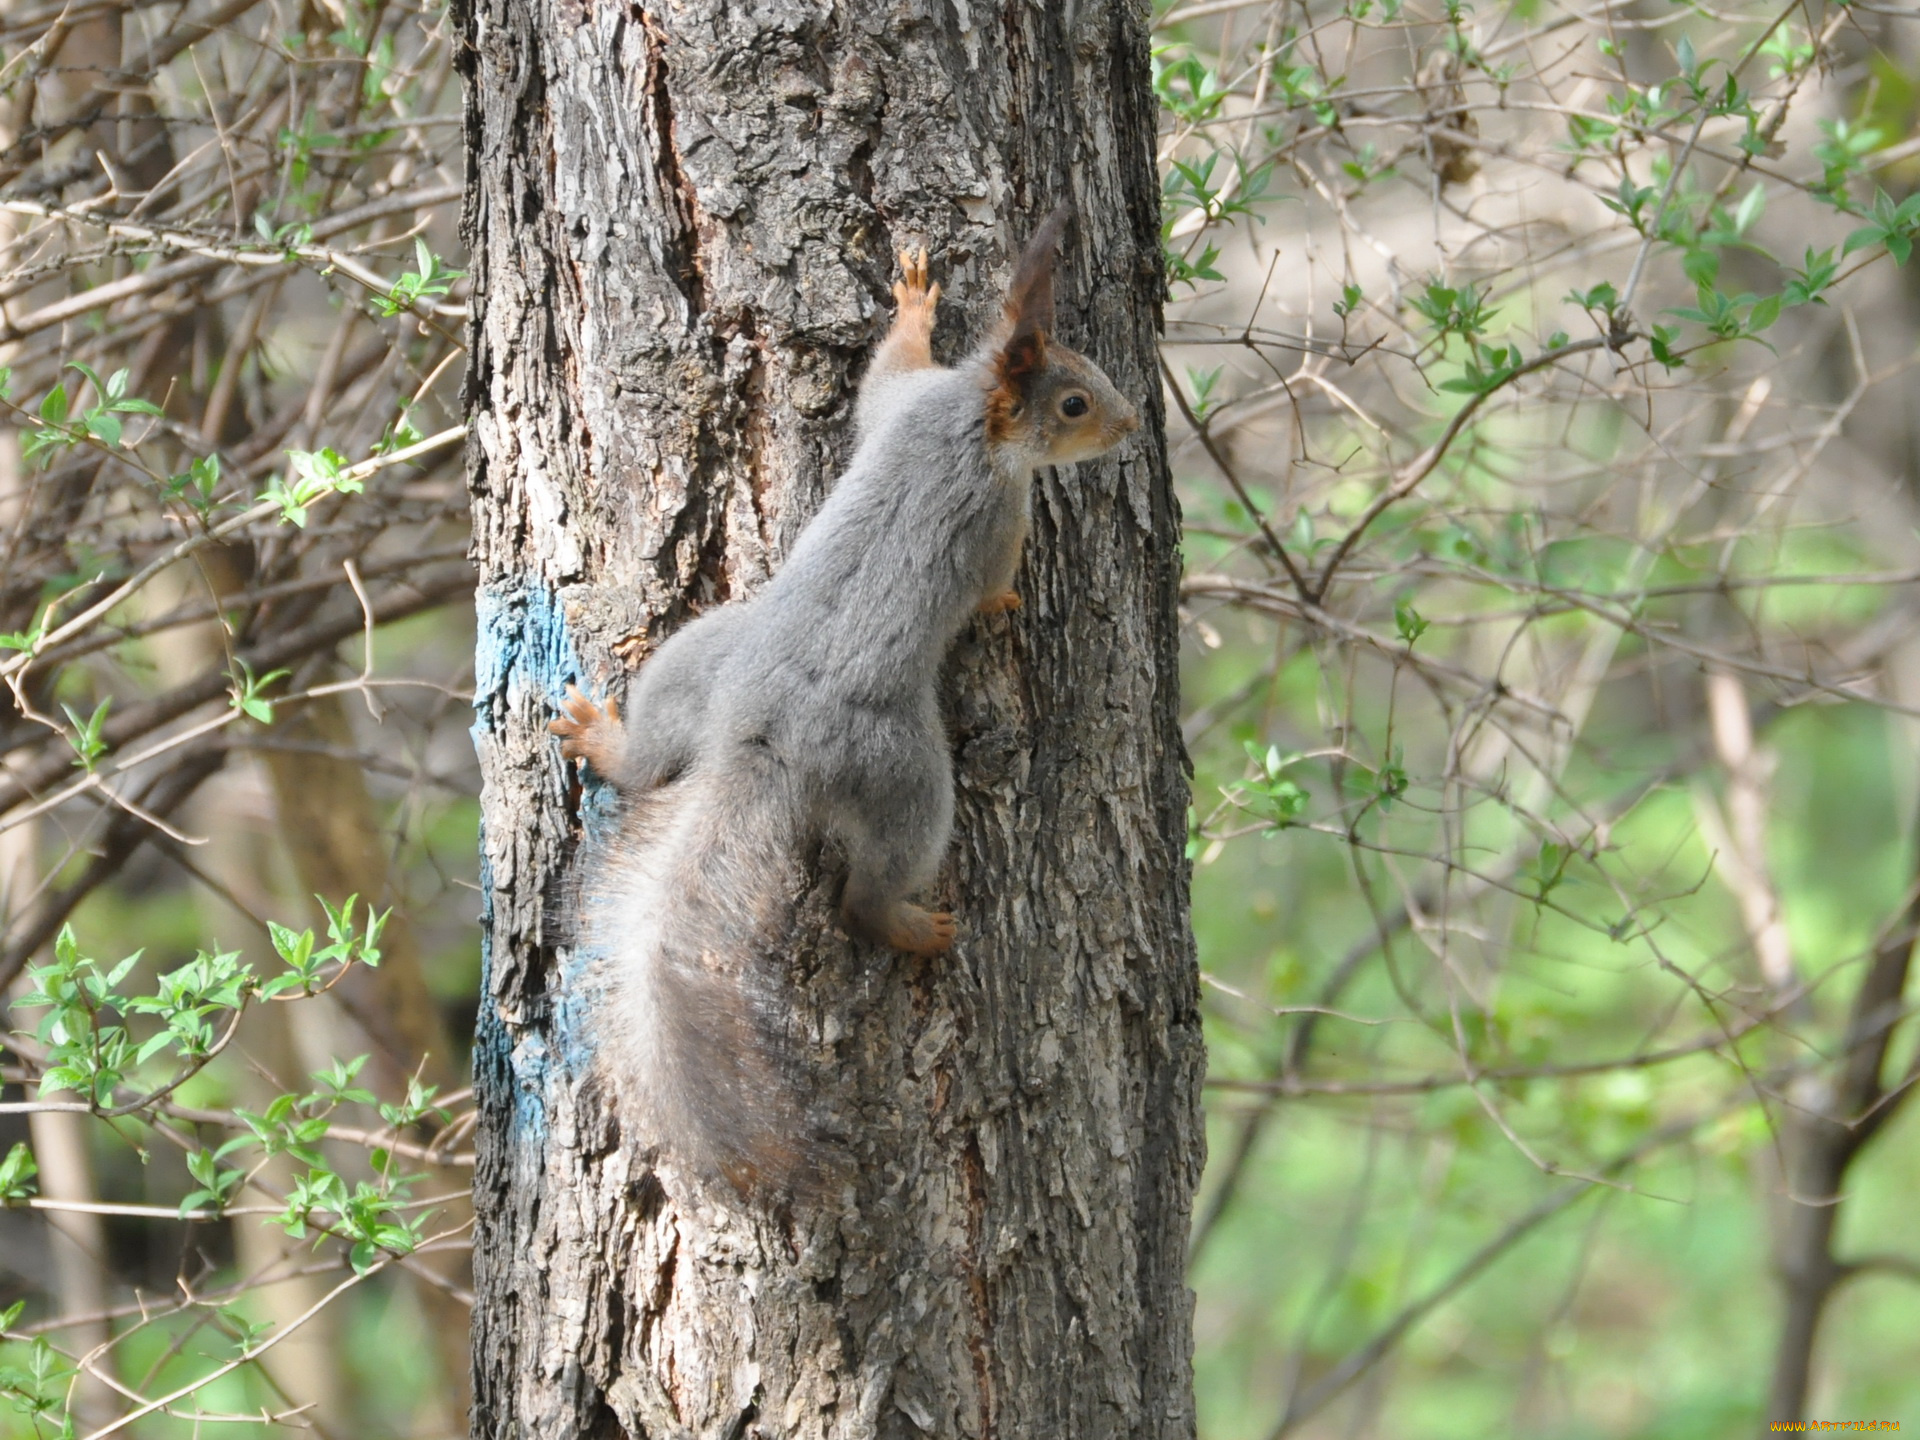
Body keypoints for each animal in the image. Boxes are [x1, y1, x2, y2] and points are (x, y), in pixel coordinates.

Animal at [549, 211, 1136, 1198]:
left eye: (1090, 370)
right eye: (1073, 405)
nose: (1130, 426)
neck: (970, 418)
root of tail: (757, 737)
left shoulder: (907, 400)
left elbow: (884, 374)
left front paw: (915, 300)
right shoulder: (1000, 510)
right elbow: (991, 578)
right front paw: (1002, 605)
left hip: (696, 660)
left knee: (651, 757)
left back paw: (603, 741)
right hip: (902, 774)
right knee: (868, 888)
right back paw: (910, 924)